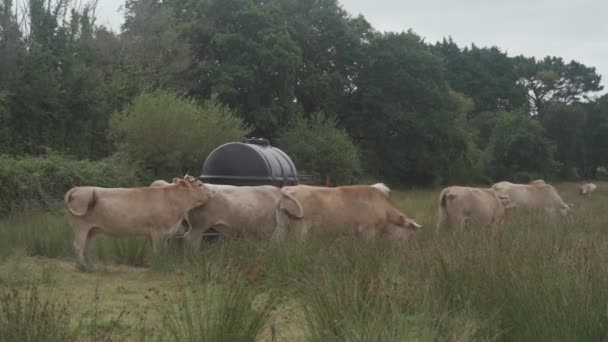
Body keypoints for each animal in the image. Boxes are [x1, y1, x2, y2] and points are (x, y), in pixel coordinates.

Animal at [65, 176, 214, 264]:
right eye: (200, 184)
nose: (212, 192)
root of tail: (78, 188)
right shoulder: (157, 231)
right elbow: (157, 251)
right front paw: (158, 266)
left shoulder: (166, 233)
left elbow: (164, 251)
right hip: (80, 226)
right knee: (78, 246)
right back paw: (83, 267)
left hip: (91, 230)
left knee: (86, 246)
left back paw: (90, 265)